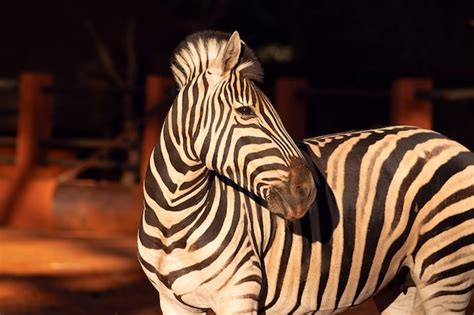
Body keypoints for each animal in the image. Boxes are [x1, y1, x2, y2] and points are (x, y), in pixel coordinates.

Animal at [138, 30, 474, 315]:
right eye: (245, 111)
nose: (307, 191)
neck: (173, 219)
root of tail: (447, 140)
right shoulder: (172, 302)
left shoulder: (239, 295)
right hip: (401, 281)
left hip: (448, 272)